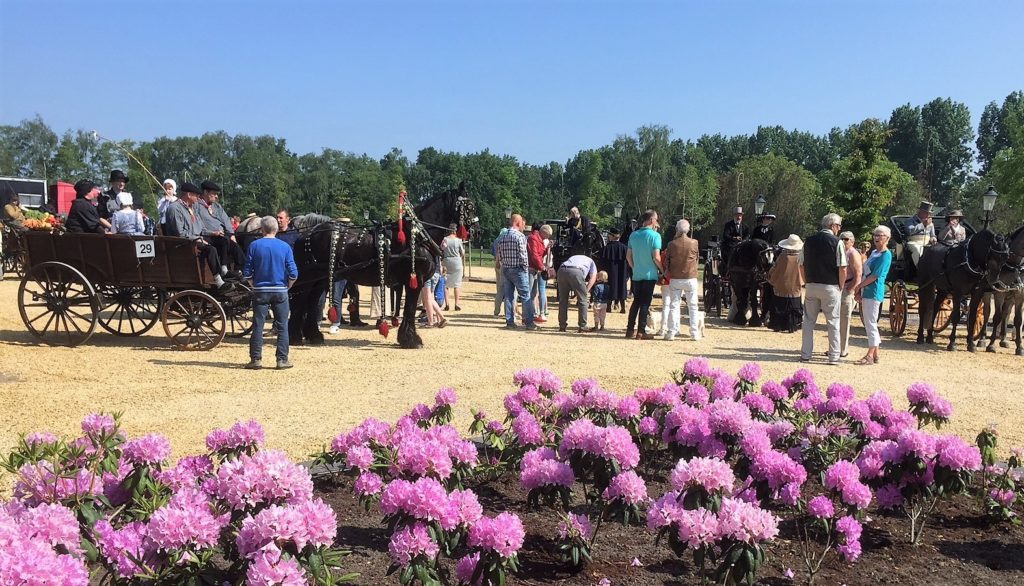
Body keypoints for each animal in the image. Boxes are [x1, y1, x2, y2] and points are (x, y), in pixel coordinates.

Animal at [288, 183, 475, 348]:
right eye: (470, 206)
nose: (476, 230)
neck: (417, 236)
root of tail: (305, 234)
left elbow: (407, 309)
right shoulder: (415, 280)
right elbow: (410, 309)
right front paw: (411, 340)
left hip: (320, 280)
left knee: (311, 303)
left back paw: (313, 336)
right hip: (309, 278)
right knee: (300, 302)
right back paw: (295, 337)